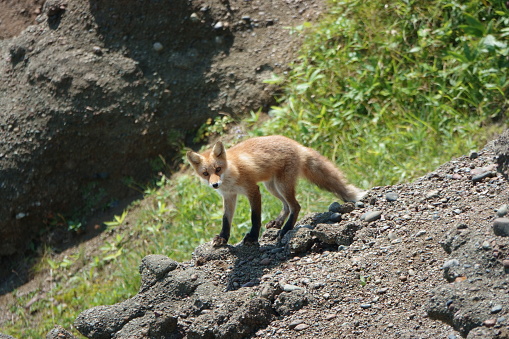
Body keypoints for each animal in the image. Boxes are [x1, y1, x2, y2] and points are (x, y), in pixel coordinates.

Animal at [187, 135, 366, 247]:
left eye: (218, 169)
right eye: (205, 173)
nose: (215, 184)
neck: (232, 172)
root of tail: (297, 145)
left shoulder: (253, 190)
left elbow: (255, 217)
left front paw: (252, 237)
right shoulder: (229, 196)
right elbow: (226, 220)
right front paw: (223, 238)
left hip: (281, 185)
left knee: (296, 206)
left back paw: (286, 229)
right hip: (272, 187)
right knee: (286, 206)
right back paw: (278, 222)